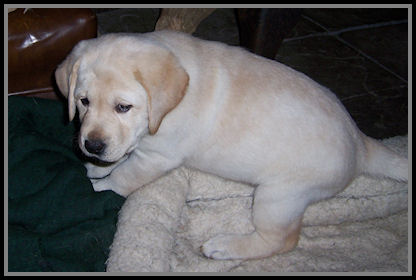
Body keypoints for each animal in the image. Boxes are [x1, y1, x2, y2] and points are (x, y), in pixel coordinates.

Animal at [54, 30, 406, 260]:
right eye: (83, 101)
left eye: (123, 107)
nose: (92, 145)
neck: (167, 107)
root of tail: (360, 142)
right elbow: (121, 155)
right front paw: (97, 165)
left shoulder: (157, 157)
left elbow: (125, 178)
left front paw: (100, 184)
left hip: (280, 196)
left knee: (282, 240)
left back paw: (225, 247)